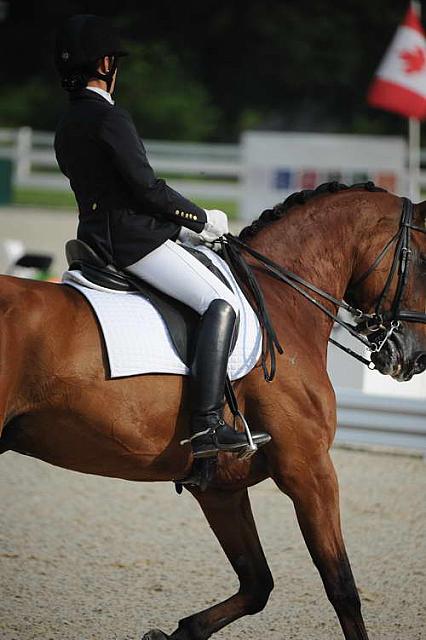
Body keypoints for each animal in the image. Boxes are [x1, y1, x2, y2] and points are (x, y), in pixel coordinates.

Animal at [0, 181, 424, 640]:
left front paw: (173, 633)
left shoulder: (220, 487)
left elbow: (257, 583)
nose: (415, 358)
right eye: (422, 259)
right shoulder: (309, 469)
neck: (284, 303)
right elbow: (341, 586)